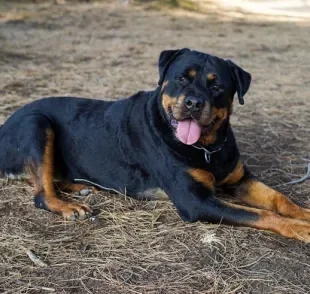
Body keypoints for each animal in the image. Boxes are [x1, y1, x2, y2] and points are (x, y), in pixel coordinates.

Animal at [0, 48, 310, 241]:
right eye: (181, 78)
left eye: (216, 86)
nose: (193, 103)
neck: (207, 148)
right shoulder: (195, 201)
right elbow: (260, 214)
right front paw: (301, 228)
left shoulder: (240, 179)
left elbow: (278, 199)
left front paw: (305, 214)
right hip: (36, 124)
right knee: (41, 192)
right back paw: (67, 205)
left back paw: (80, 187)